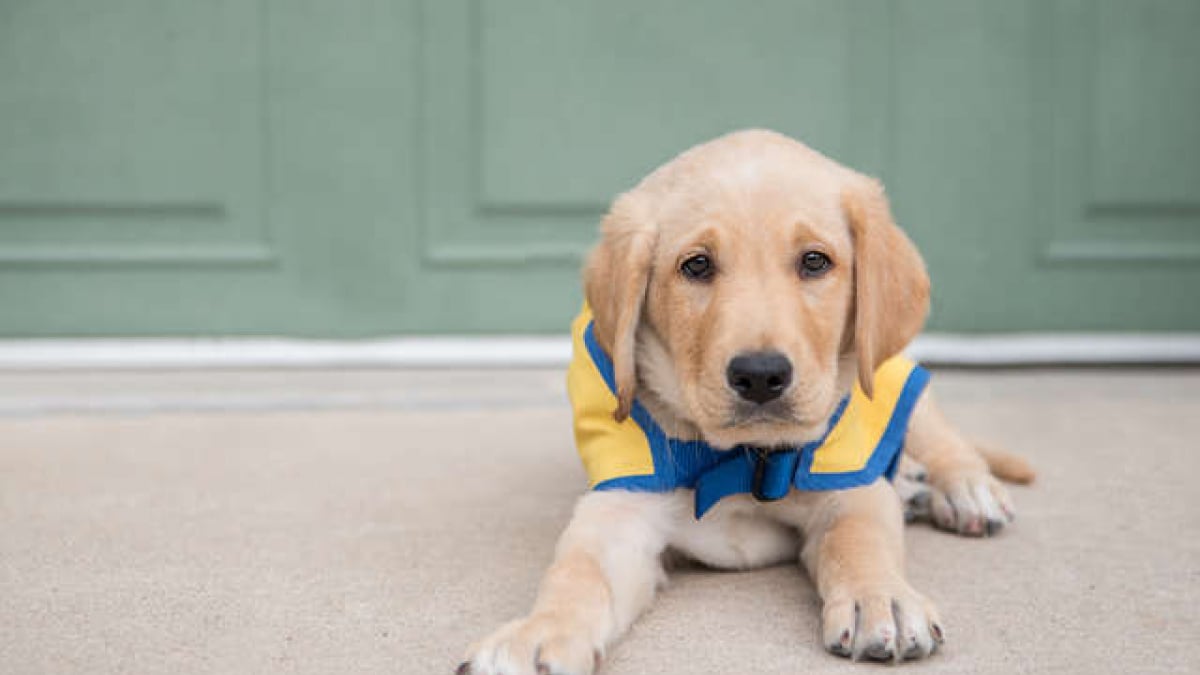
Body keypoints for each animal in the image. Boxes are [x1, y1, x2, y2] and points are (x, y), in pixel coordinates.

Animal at [458, 128, 1032, 667]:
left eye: (815, 261)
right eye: (696, 266)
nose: (760, 376)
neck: (741, 458)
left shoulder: (849, 485)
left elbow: (859, 541)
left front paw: (882, 598)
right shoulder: (620, 509)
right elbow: (577, 573)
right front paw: (536, 634)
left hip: (891, 372)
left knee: (938, 434)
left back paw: (962, 489)